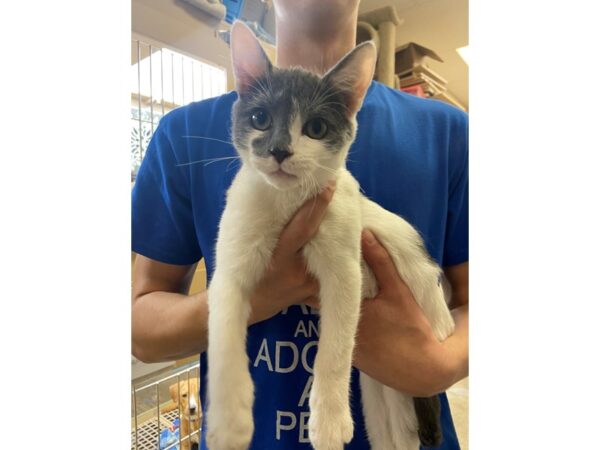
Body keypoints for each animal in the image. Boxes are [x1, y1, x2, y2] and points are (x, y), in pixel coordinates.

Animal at [206, 22, 454, 450]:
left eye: (316, 128)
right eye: (259, 118)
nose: (279, 150)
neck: (289, 203)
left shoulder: (345, 268)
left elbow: (335, 349)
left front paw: (329, 420)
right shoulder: (231, 264)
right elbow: (223, 331)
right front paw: (229, 422)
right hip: (382, 391)